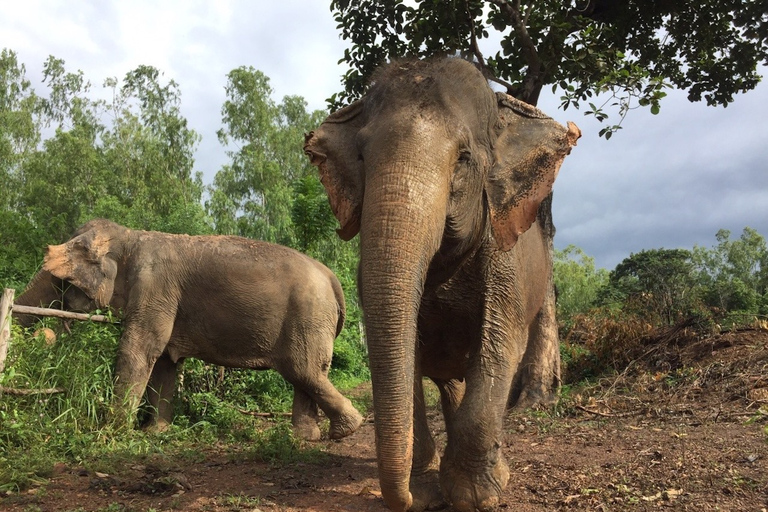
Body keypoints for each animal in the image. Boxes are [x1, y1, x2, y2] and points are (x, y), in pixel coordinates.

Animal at [16, 219, 364, 440]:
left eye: (61, 280)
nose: (42, 336)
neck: (131, 237)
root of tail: (332, 278)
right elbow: (165, 363)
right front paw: (154, 433)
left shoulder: (155, 285)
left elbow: (139, 349)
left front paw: (110, 432)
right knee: (305, 374)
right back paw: (305, 438)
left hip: (308, 316)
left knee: (303, 369)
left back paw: (347, 430)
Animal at [304, 57, 580, 512]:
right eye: (361, 156)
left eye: (464, 158)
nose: (407, 500)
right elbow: (405, 347)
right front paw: (426, 485)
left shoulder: (505, 256)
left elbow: (500, 341)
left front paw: (475, 495)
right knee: (450, 382)